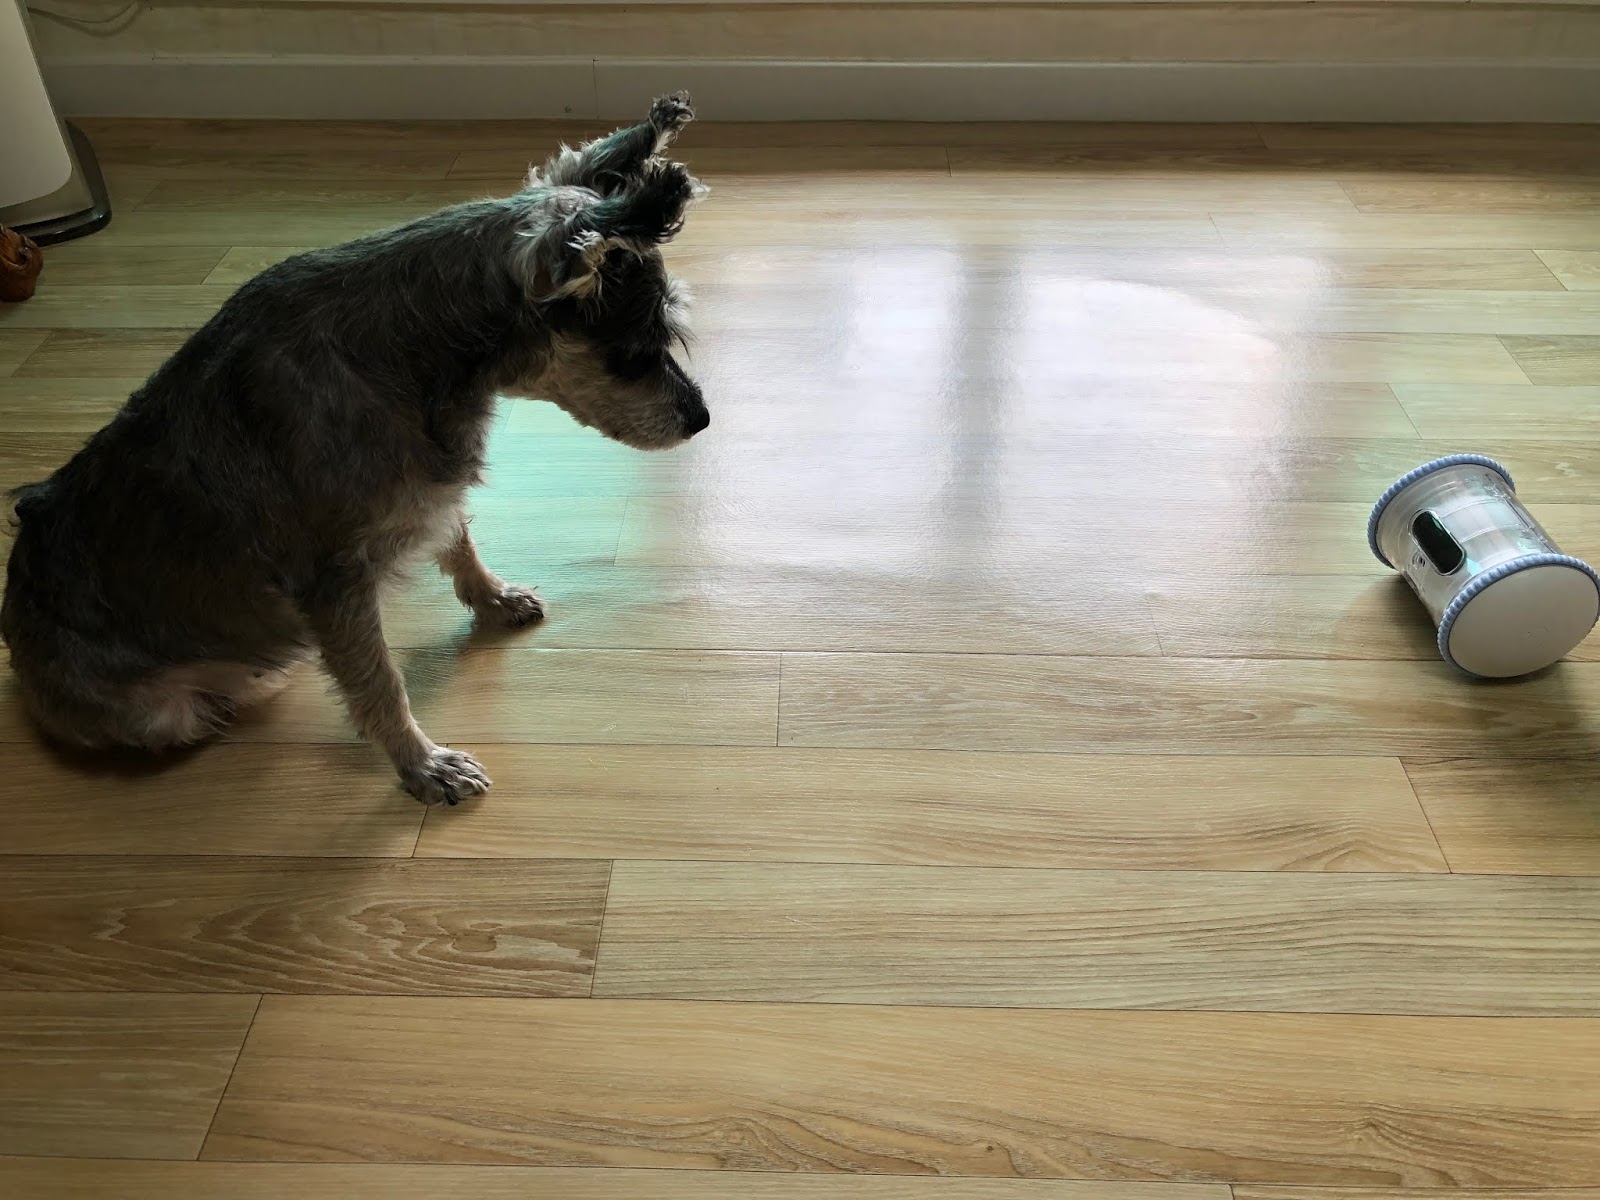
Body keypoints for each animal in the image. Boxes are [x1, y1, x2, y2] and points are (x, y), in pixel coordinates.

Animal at [1, 94, 709, 806]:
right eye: (634, 353)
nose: (701, 419)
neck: (415, 348)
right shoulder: (336, 584)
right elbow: (379, 684)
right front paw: (423, 765)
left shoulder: (430, 486)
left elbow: (458, 538)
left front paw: (493, 598)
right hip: (160, 710)